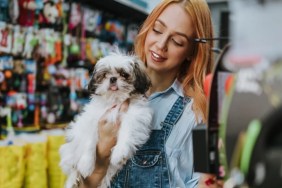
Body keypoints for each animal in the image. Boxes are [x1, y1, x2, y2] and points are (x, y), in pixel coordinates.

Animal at [58, 51, 153, 188]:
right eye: (105, 75)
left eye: (124, 74)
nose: (113, 78)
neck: (115, 100)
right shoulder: (94, 119)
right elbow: (90, 141)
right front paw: (86, 163)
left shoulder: (134, 117)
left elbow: (127, 132)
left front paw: (119, 152)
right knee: (73, 167)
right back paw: (74, 176)